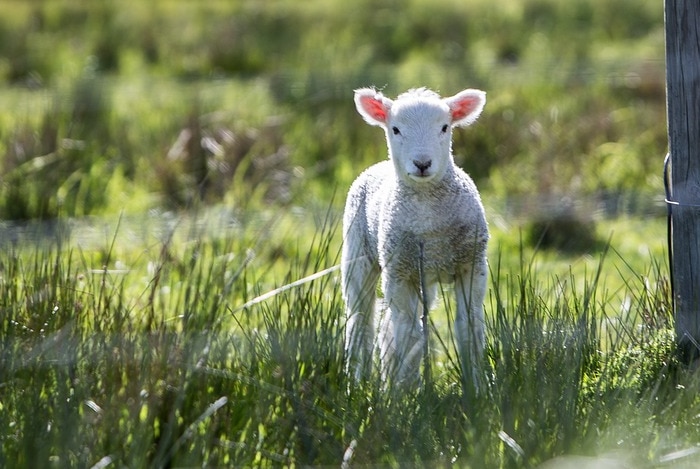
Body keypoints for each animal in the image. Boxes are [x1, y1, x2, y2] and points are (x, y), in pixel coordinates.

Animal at [342, 86, 490, 386]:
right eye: (395, 129)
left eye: (445, 127)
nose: (422, 163)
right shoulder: (399, 273)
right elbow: (409, 335)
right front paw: (407, 391)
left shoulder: (472, 265)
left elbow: (469, 327)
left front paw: (476, 386)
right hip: (358, 254)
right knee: (361, 320)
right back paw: (358, 381)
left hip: (424, 276)